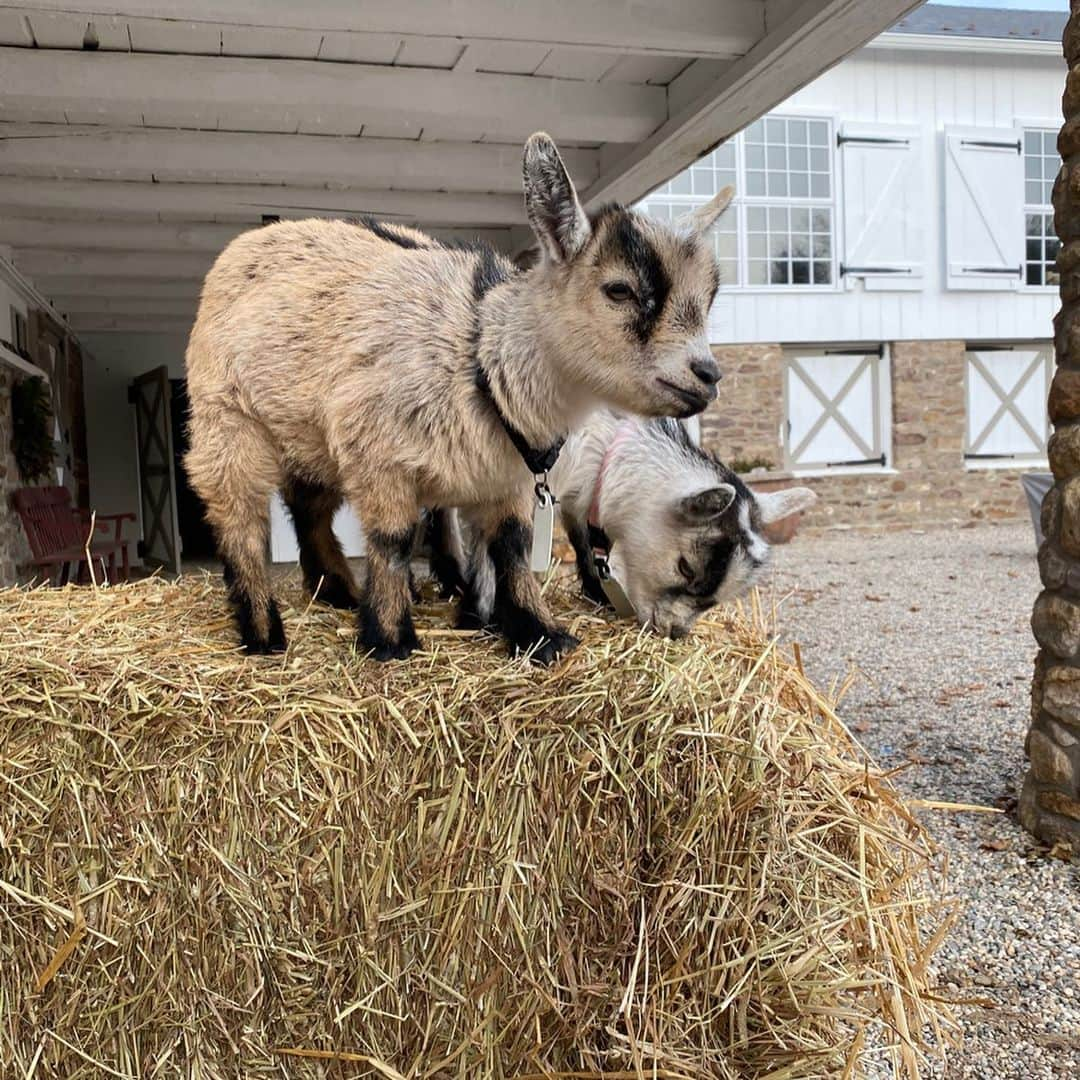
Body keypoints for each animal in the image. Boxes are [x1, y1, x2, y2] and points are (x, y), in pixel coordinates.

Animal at [185, 135, 734, 656]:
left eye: (710, 298)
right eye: (619, 290)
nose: (707, 375)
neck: (482, 357)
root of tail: (253, 241)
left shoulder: (506, 477)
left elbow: (511, 546)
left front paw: (538, 633)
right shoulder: (375, 451)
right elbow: (393, 539)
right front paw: (390, 639)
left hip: (308, 434)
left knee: (308, 508)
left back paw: (337, 591)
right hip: (225, 415)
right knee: (238, 515)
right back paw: (263, 630)